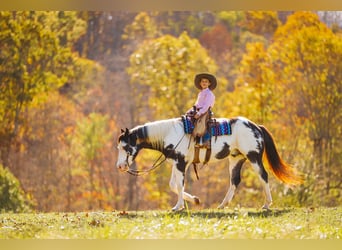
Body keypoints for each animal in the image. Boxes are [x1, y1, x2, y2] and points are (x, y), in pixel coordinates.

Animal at [116, 116, 304, 210]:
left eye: (125, 147)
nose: (120, 167)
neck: (169, 133)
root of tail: (256, 126)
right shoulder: (177, 163)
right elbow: (173, 185)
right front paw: (195, 200)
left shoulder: (180, 163)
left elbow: (180, 185)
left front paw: (178, 207)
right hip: (235, 159)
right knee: (234, 181)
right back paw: (222, 205)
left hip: (254, 157)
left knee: (263, 176)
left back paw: (266, 204)